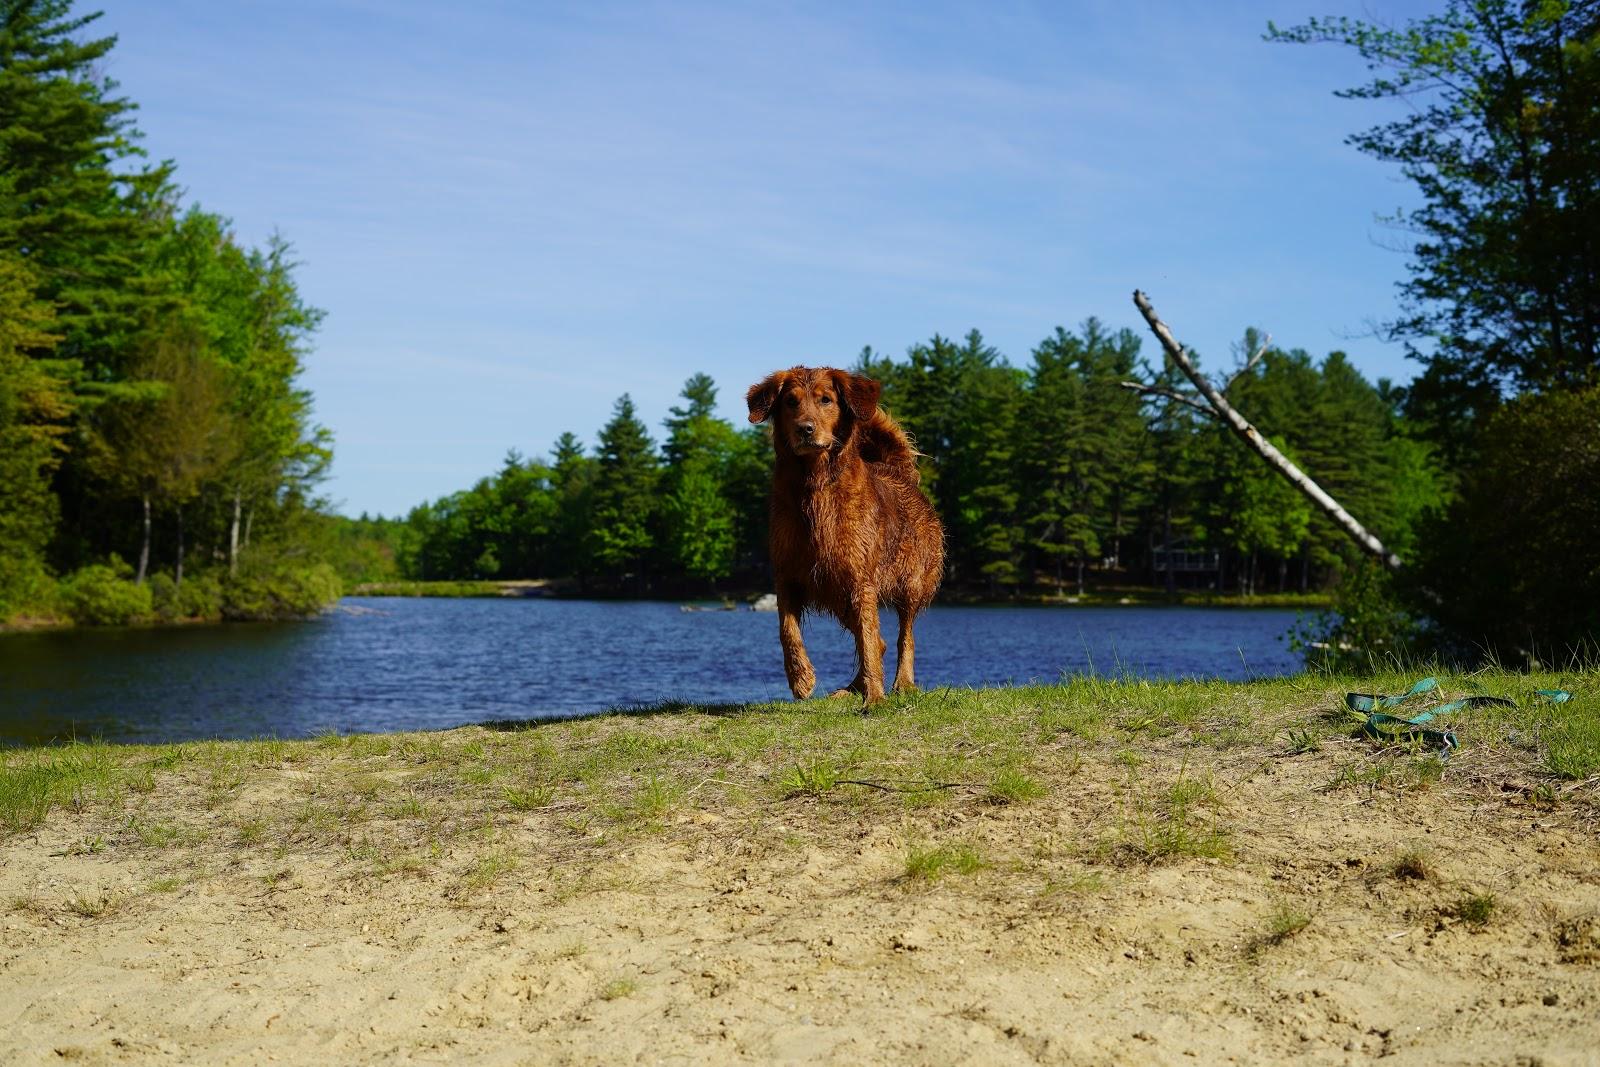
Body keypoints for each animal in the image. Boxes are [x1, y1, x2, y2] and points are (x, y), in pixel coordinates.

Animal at [745, 367, 940, 710]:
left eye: (826, 400)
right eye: (790, 402)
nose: (805, 429)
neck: (814, 484)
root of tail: (899, 473)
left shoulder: (861, 580)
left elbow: (870, 638)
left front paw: (875, 699)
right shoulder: (787, 575)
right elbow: (787, 630)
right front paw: (801, 677)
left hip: (910, 584)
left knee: (903, 635)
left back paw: (901, 683)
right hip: (837, 594)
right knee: (879, 641)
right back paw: (852, 688)